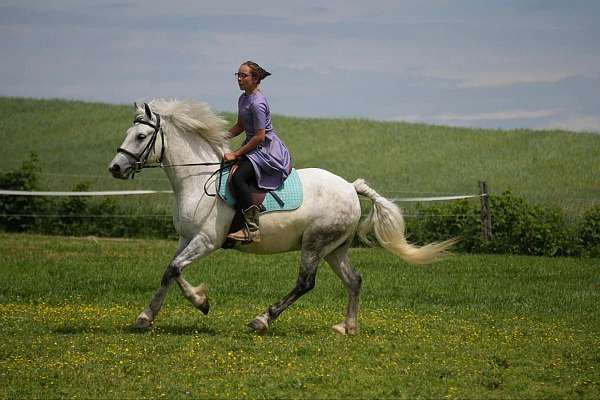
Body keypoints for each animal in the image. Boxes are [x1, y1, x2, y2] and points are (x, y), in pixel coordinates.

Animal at [109, 100, 454, 334]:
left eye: (140, 136)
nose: (115, 168)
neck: (197, 180)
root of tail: (350, 187)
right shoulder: (186, 238)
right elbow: (169, 271)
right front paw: (145, 317)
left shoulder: (206, 240)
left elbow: (176, 270)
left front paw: (201, 302)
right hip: (334, 249)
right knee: (353, 280)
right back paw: (347, 327)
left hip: (314, 244)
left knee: (305, 283)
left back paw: (262, 319)